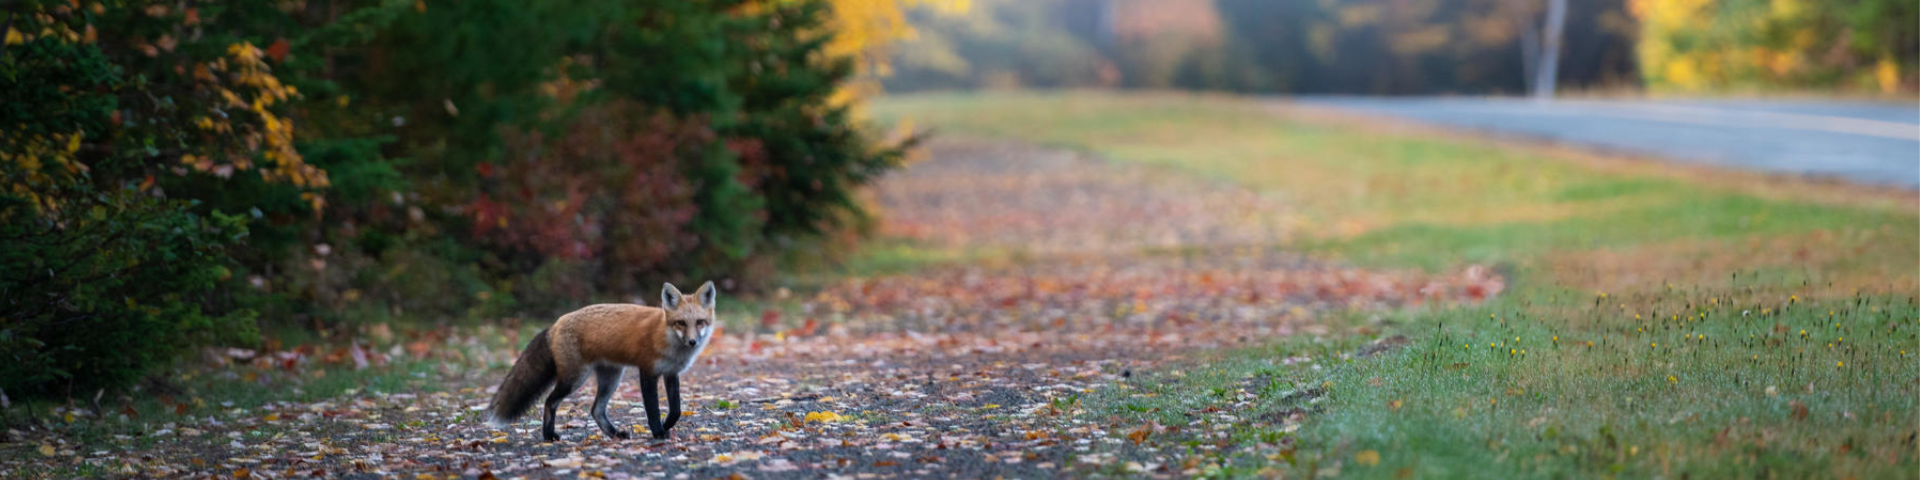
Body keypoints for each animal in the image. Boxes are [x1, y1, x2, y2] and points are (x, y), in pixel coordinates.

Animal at [483, 281, 717, 442]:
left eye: (700, 322)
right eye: (681, 323)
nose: (693, 342)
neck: (666, 337)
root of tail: (555, 324)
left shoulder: (670, 373)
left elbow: (676, 409)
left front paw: (667, 425)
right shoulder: (647, 371)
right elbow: (652, 409)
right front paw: (658, 432)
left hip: (611, 378)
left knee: (596, 410)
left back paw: (614, 434)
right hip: (575, 379)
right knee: (550, 401)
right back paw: (549, 435)